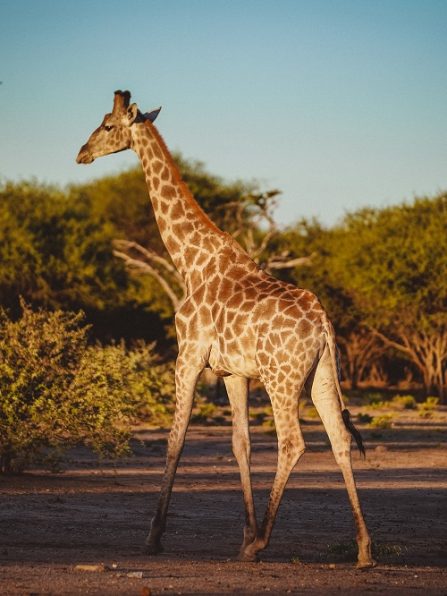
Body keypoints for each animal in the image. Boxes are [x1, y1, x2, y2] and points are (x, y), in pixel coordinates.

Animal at [78, 89, 378, 568]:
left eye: (107, 125)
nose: (81, 153)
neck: (191, 261)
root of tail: (323, 325)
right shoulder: (234, 373)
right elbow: (241, 444)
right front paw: (242, 536)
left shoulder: (187, 357)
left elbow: (176, 440)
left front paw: (155, 536)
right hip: (321, 375)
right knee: (339, 439)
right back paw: (364, 549)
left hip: (282, 377)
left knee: (293, 443)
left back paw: (264, 544)